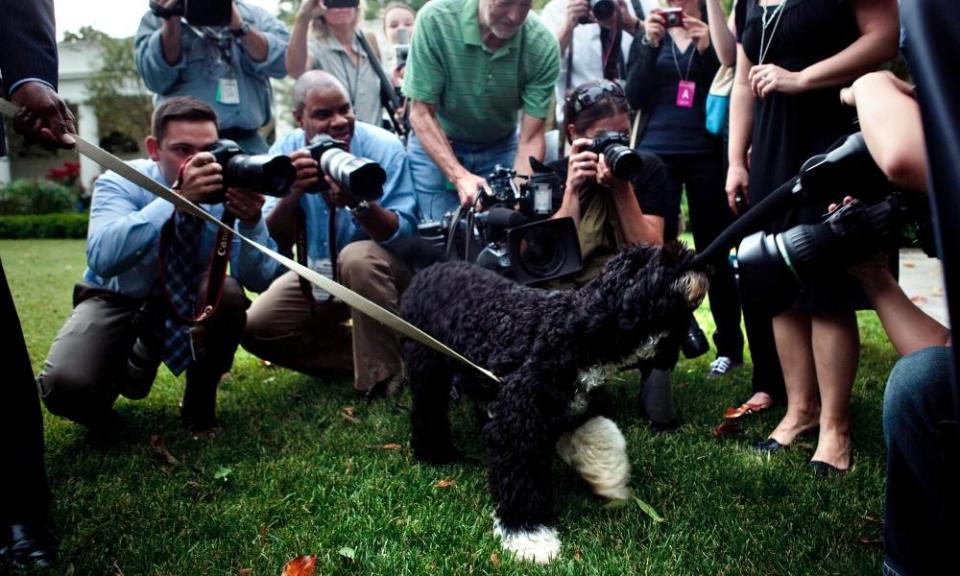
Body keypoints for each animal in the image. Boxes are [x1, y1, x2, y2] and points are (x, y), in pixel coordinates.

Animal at [402, 242, 708, 564]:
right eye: (645, 263)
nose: (690, 257)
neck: (575, 333)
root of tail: (432, 267)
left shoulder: (576, 407)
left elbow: (604, 437)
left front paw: (610, 481)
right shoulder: (517, 424)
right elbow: (521, 483)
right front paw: (530, 540)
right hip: (427, 365)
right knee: (427, 410)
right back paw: (435, 453)